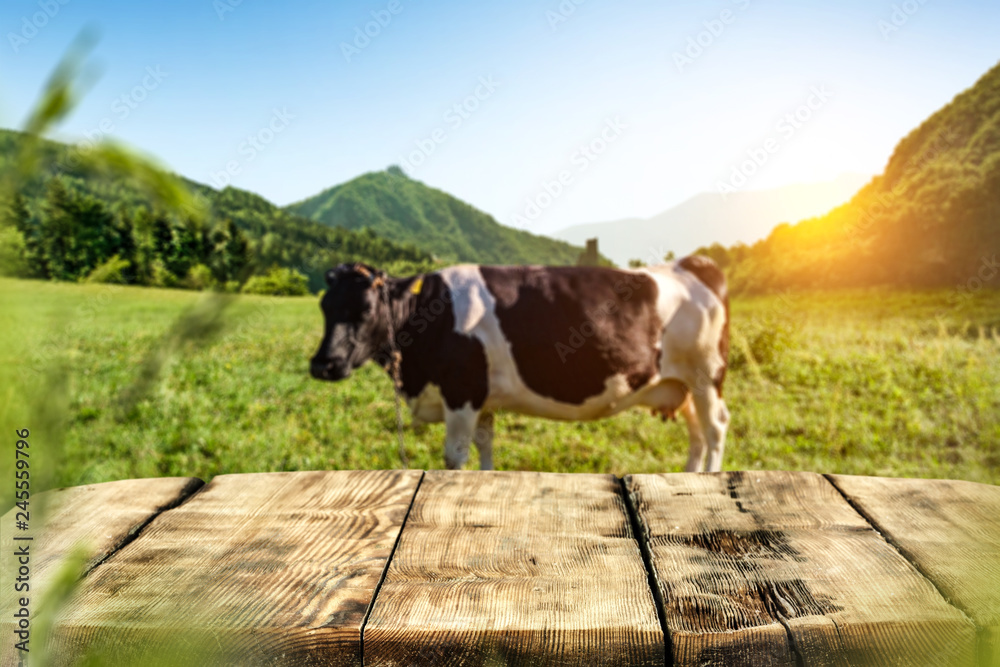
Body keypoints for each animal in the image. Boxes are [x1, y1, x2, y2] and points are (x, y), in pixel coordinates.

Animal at [310, 257, 730, 472]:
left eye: (365, 309)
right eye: (324, 306)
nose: (322, 365)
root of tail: (693, 263)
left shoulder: (461, 393)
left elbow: (454, 457)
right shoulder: (482, 399)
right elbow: (485, 448)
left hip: (706, 376)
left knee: (714, 430)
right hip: (680, 383)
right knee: (696, 435)